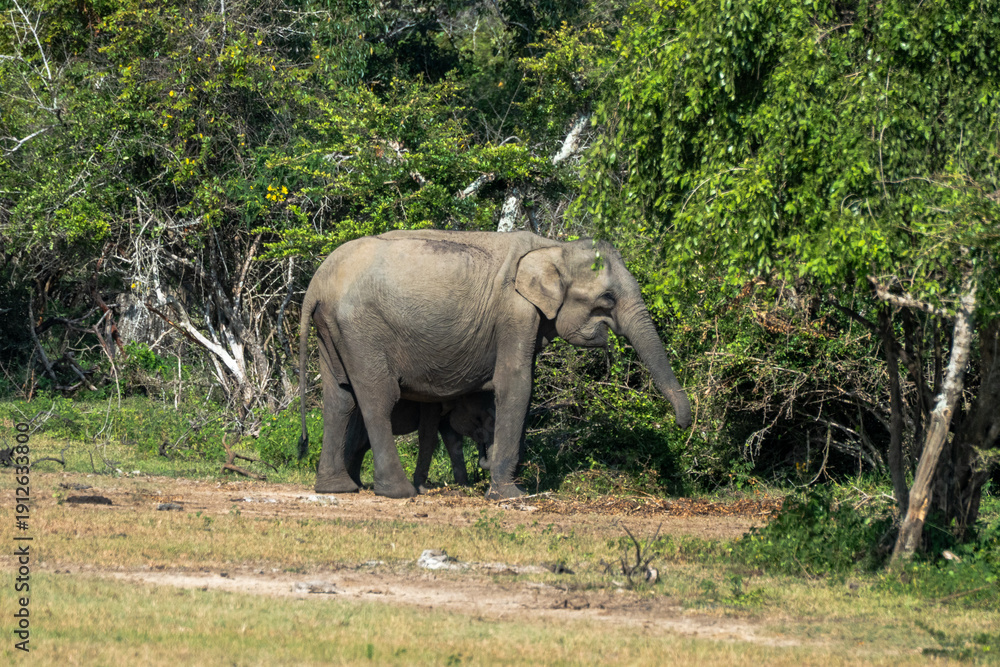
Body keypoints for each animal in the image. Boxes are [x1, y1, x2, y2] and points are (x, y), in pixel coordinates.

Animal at [298, 230, 692, 500]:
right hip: (361, 329)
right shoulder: (515, 313)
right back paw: (398, 492)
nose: (683, 424)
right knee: (377, 398)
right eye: (607, 298)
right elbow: (516, 384)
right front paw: (509, 496)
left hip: (333, 329)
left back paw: (337, 489)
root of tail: (316, 283)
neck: (553, 246)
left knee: (339, 398)